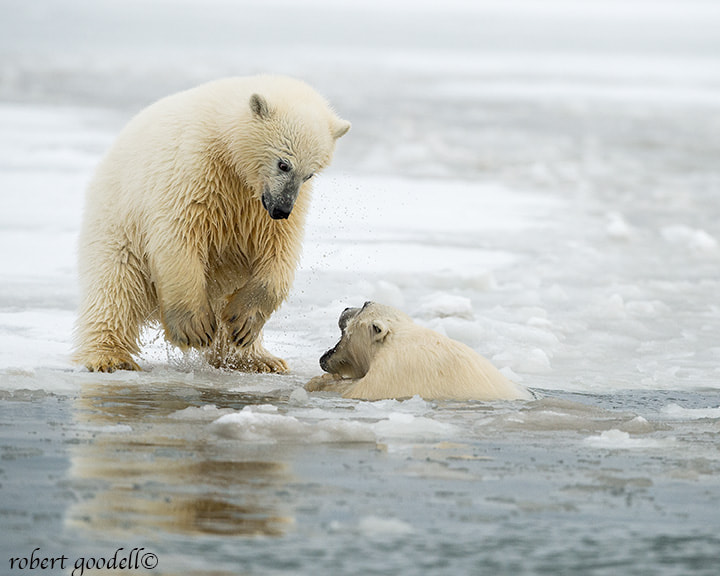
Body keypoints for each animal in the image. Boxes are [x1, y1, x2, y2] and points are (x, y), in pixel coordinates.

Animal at [74, 75, 350, 374]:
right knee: (116, 288)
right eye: (283, 164)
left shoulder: (262, 208)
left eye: (310, 173)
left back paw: (259, 359)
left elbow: (278, 251)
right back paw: (110, 357)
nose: (281, 209)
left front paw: (243, 322)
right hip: (118, 225)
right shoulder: (195, 171)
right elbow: (178, 235)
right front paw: (194, 328)